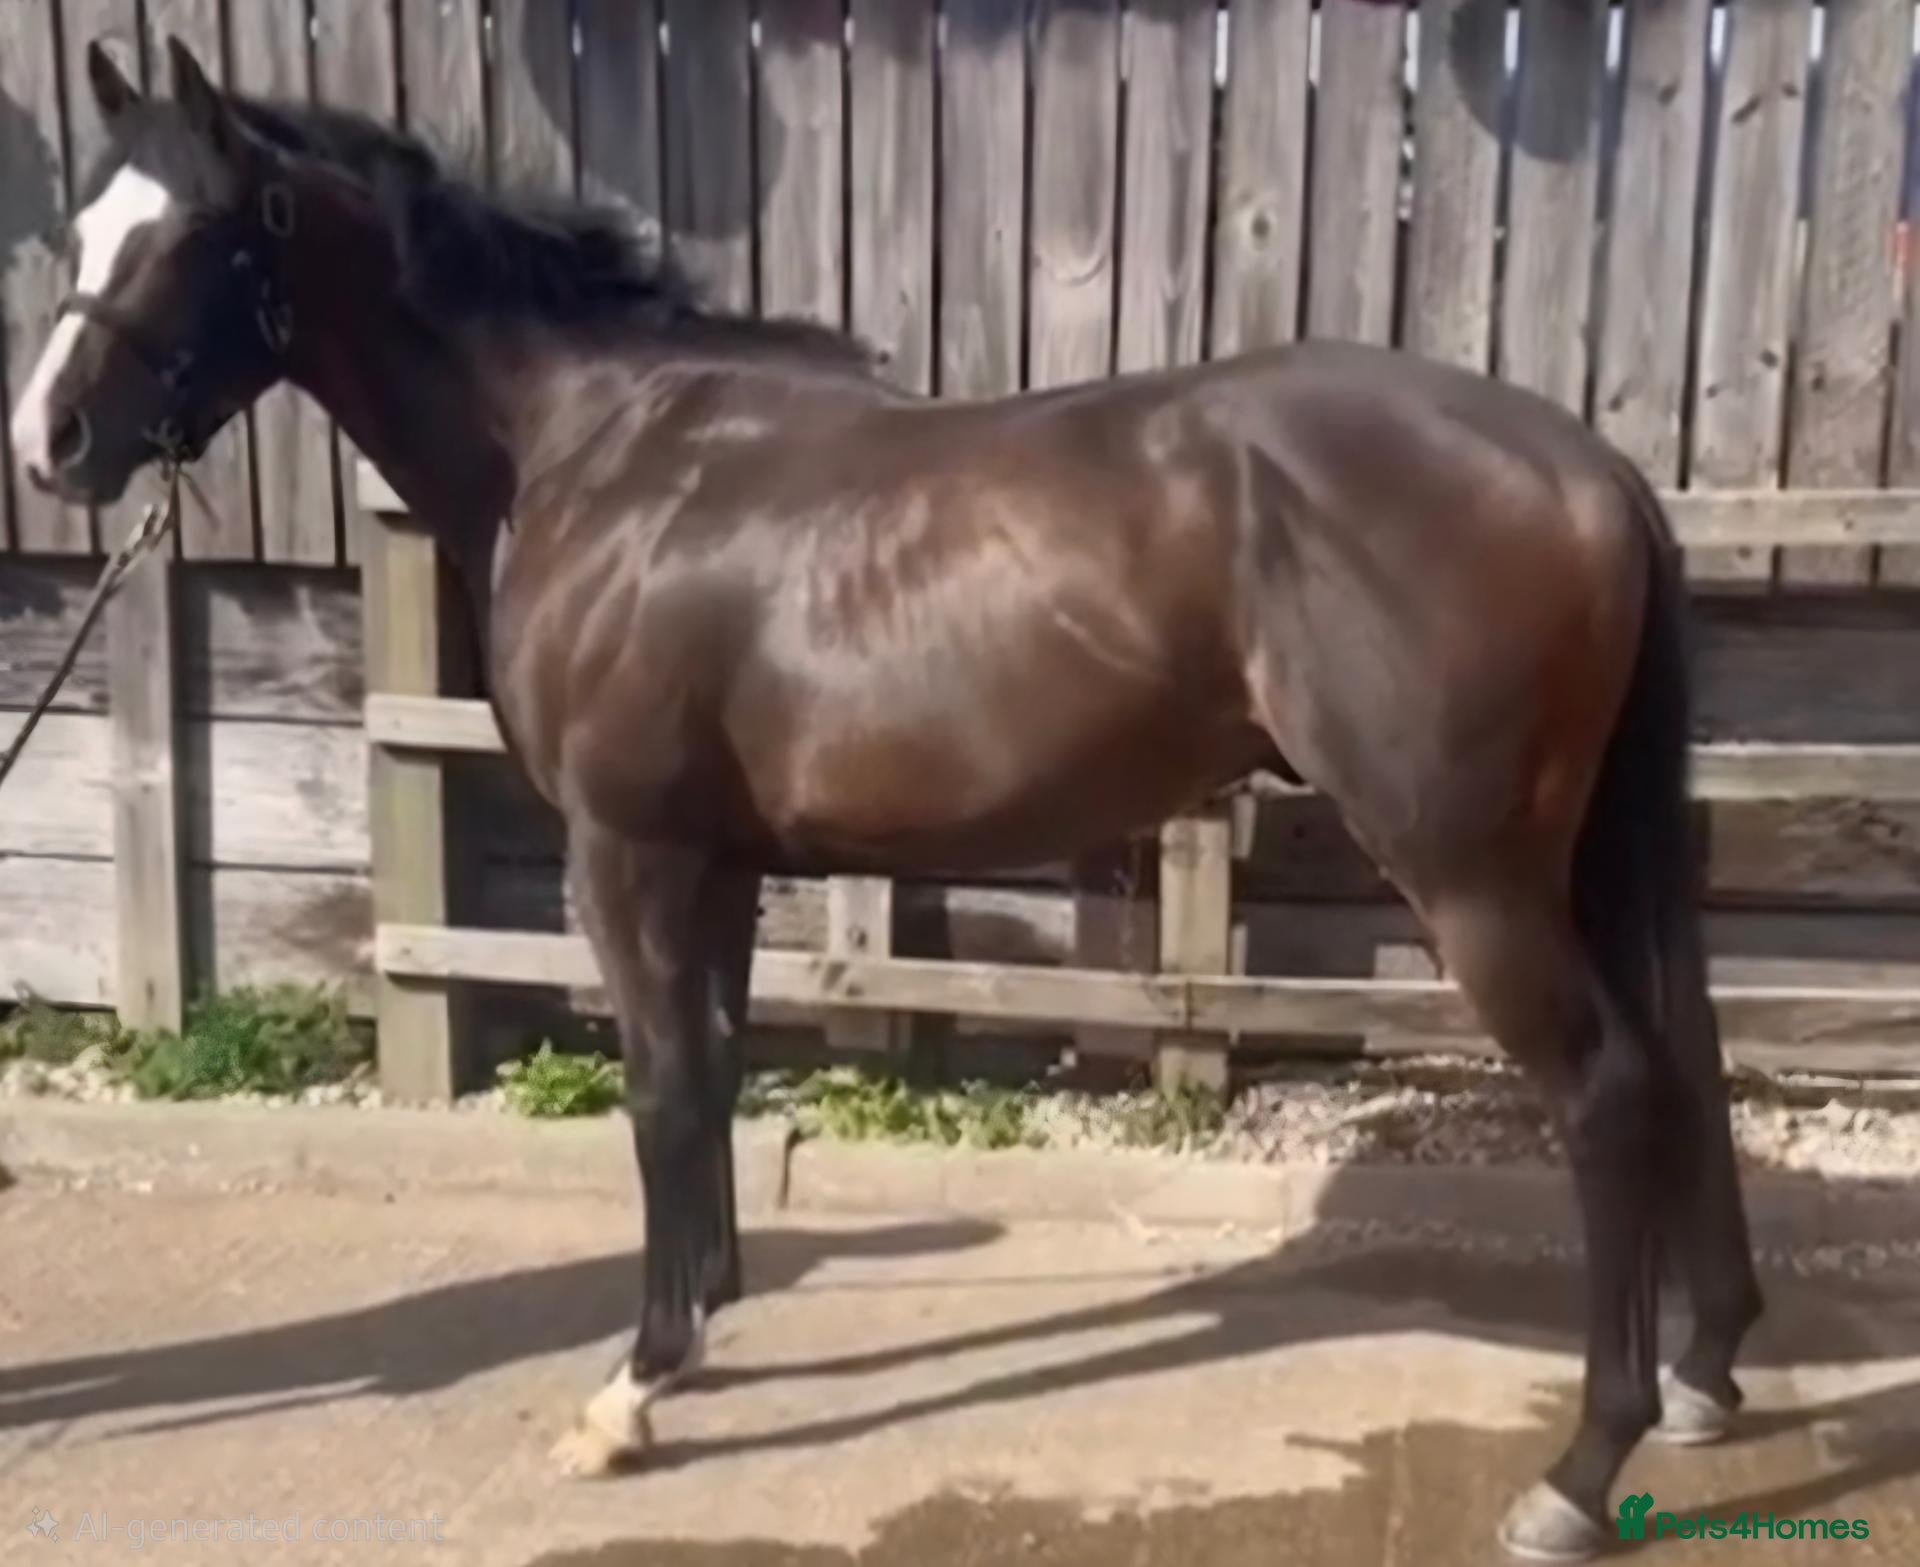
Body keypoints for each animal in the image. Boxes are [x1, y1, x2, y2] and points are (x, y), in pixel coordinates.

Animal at [11, 39, 1762, 1561]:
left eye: (195, 230)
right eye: (83, 217)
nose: (51, 439)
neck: (598, 453)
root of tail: (1594, 470)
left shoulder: (627, 852)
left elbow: (658, 1088)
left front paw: (632, 1388)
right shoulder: (713, 860)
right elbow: (710, 1074)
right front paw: (703, 1321)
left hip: (1474, 874)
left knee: (1609, 1087)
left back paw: (1578, 1470)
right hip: (1579, 858)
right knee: (1682, 1050)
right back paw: (1705, 1369)